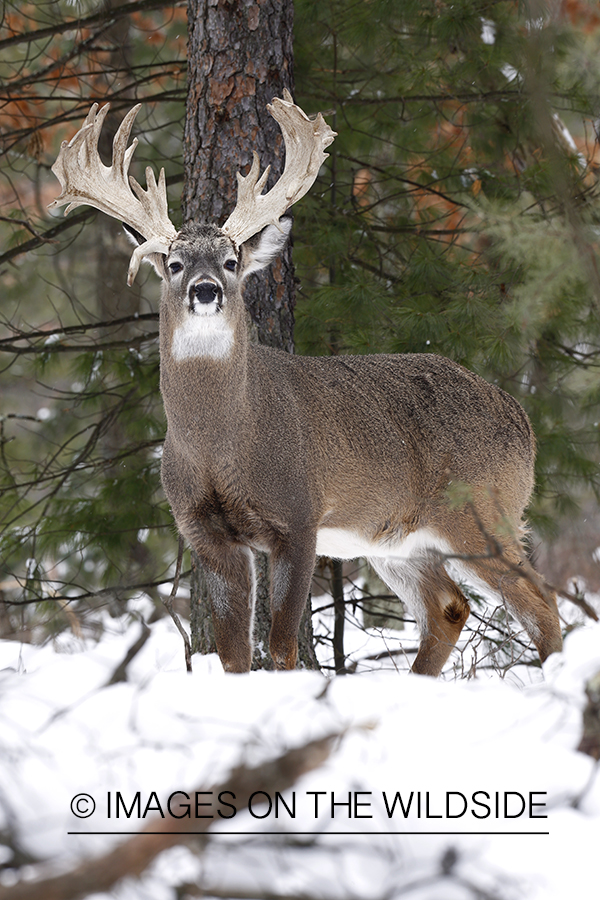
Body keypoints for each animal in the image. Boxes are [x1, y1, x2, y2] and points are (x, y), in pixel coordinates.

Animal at [47, 96, 564, 676]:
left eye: (231, 261)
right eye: (175, 264)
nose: (206, 290)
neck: (219, 447)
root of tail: (522, 420)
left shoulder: (298, 517)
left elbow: (281, 645)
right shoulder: (204, 532)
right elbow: (233, 653)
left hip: (483, 509)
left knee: (541, 600)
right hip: (397, 539)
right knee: (450, 607)